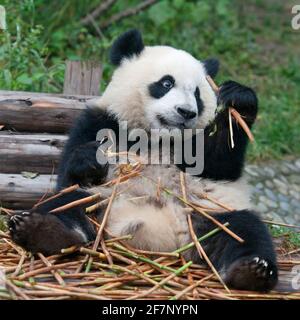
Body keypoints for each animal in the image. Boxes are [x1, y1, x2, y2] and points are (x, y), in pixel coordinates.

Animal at [8, 30, 278, 292]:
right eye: (166, 83)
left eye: (197, 94)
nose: (186, 112)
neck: (157, 139)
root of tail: (165, 240)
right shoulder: (100, 121)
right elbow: (68, 177)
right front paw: (91, 158)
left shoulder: (197, 150)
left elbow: (220, 163)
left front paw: (239, 100)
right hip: (103, 203)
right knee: (68, 203)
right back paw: (42, 231)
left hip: (207, 214)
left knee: (244, 230)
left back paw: (251, 271)